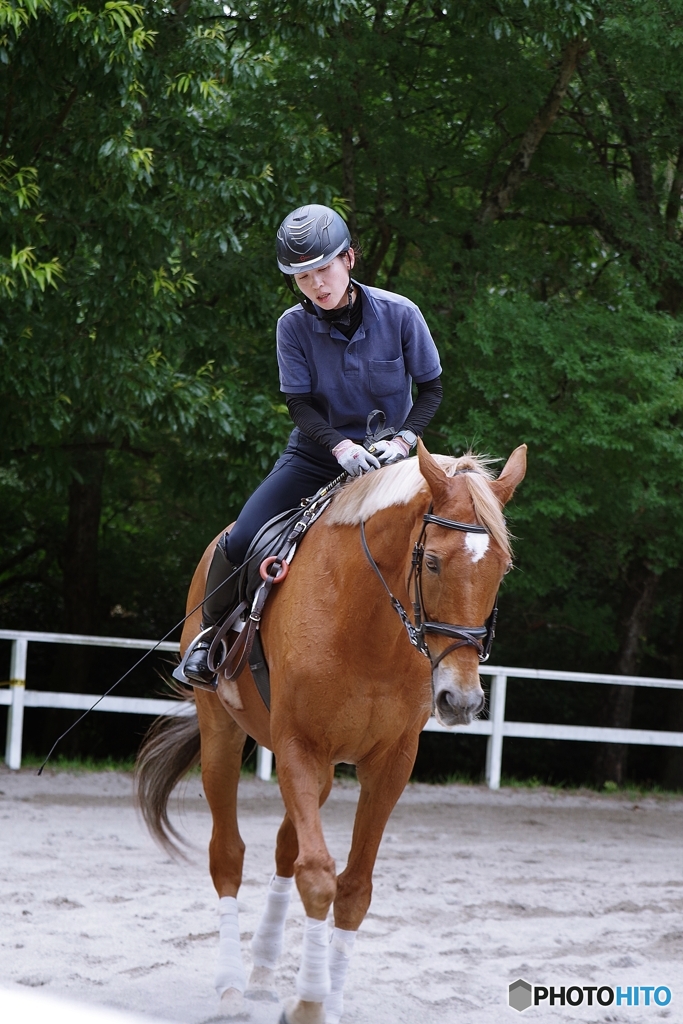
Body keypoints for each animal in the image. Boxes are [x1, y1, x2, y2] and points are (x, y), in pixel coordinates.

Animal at [136, 442, 528, 1024]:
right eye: (433, 561)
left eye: (501, 567)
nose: (461, 699)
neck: (367, 624)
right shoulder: (299, 746)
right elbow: (318, 876)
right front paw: (310, 1002)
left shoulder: (391, 764)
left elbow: (354, 888)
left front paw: (327, 996)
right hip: (223, 734)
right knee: (228, 854)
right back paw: (230, 988)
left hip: (318, 773)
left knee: (284, 849)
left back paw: (261, 973)